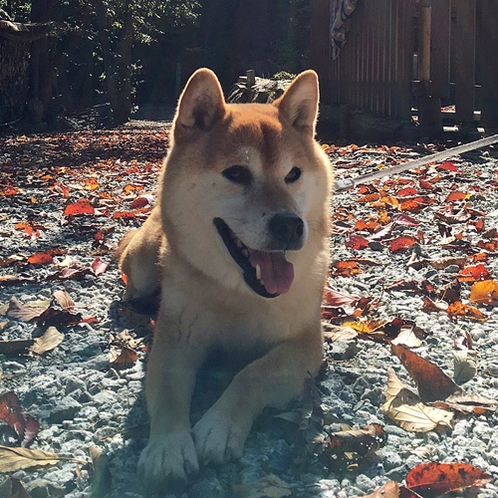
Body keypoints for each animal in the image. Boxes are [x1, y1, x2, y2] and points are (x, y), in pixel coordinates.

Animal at [116, 67, 332, 490]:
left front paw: (219, 425)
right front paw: (167, 447)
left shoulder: (305, 346)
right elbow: (168, 395)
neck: (242, 296)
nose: (290, 225)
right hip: (145, 267)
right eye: (236, 174)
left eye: (293, 174)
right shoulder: (175, 341)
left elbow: (252, 374)